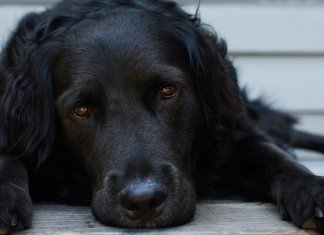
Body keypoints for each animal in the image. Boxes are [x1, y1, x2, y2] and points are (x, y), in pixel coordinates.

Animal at [0, 0, 324, 233]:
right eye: (81, 109)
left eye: (167, 90)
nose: (143, 201)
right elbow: (8, 157)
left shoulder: (232, 135)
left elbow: (272, 155)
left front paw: (310, 188)